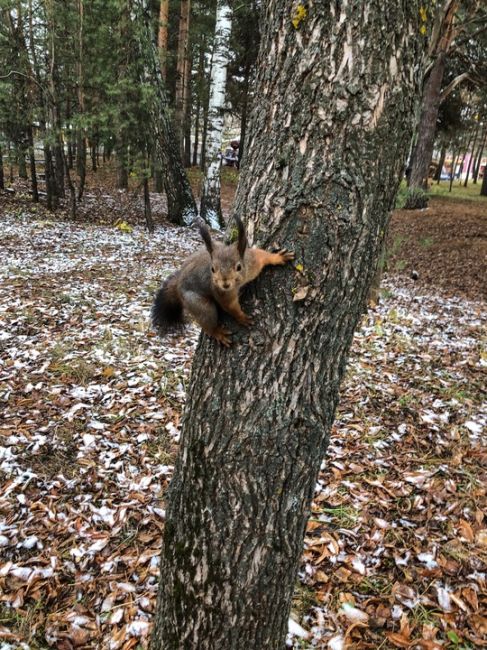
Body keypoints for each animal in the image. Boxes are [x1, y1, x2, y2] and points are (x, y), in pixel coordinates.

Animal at [152, 216, 296, 344]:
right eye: (212, 269)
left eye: (239, 267)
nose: (225, 284)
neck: (238, 283)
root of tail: (178, 285)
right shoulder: (221, 292)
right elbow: (229, 306)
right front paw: (242, 318)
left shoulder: (253, 262)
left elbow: (263, 255)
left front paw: (278, 257)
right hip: (198, 304)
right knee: (207, 321)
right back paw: (217, 333)